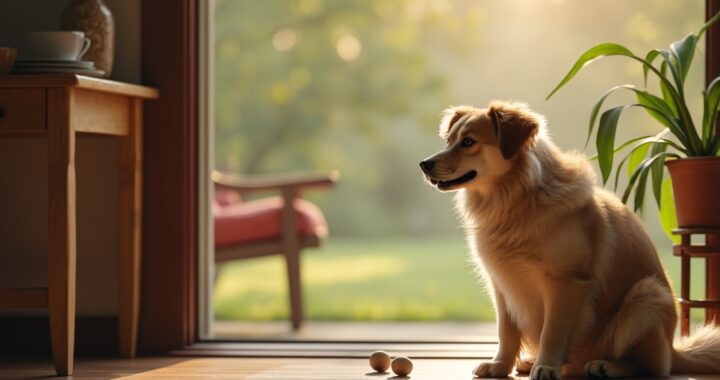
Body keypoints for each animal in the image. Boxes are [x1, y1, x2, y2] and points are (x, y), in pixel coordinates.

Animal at [420, 101, 720, 380]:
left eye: (468, 142)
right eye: (449, 141)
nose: (424, 164)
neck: (519, 200)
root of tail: (674, 350)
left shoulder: (566, 282)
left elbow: (552, 332)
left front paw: (546, 366)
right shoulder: (502, 284)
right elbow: (506, 331)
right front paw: (500, 366)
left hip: (647, 295)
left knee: (651, 367)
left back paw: (606, 366)